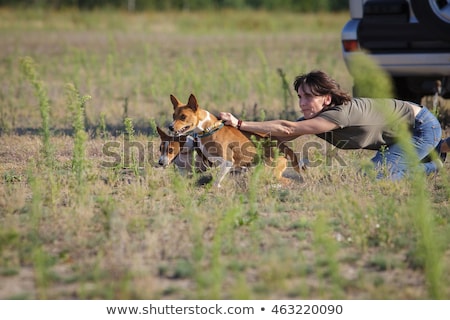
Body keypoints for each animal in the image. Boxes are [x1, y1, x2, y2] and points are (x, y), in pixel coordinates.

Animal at [167, 94, 300, 186]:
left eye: (183, 116)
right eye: (173, 116)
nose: (170, 127)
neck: (210, 129)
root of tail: (284, 146)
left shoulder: (228, 161)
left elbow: (216, 181)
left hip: (269, 170)